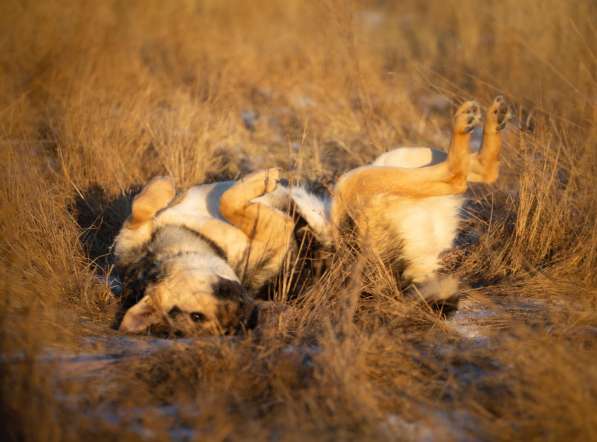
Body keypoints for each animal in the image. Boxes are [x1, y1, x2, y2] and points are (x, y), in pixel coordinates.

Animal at [113, 95, 508, 334]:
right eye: (197, 317)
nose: (247, 313)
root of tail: (409, 274)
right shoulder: (278, 227)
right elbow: (230, 202)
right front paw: (259, 181)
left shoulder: (136, 237)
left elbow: (140, 209)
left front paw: (163, 185)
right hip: (358, 185)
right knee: (458, 174)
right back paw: (467, 123)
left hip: (403, 156)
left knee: (477, 170)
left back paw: (491, 119)